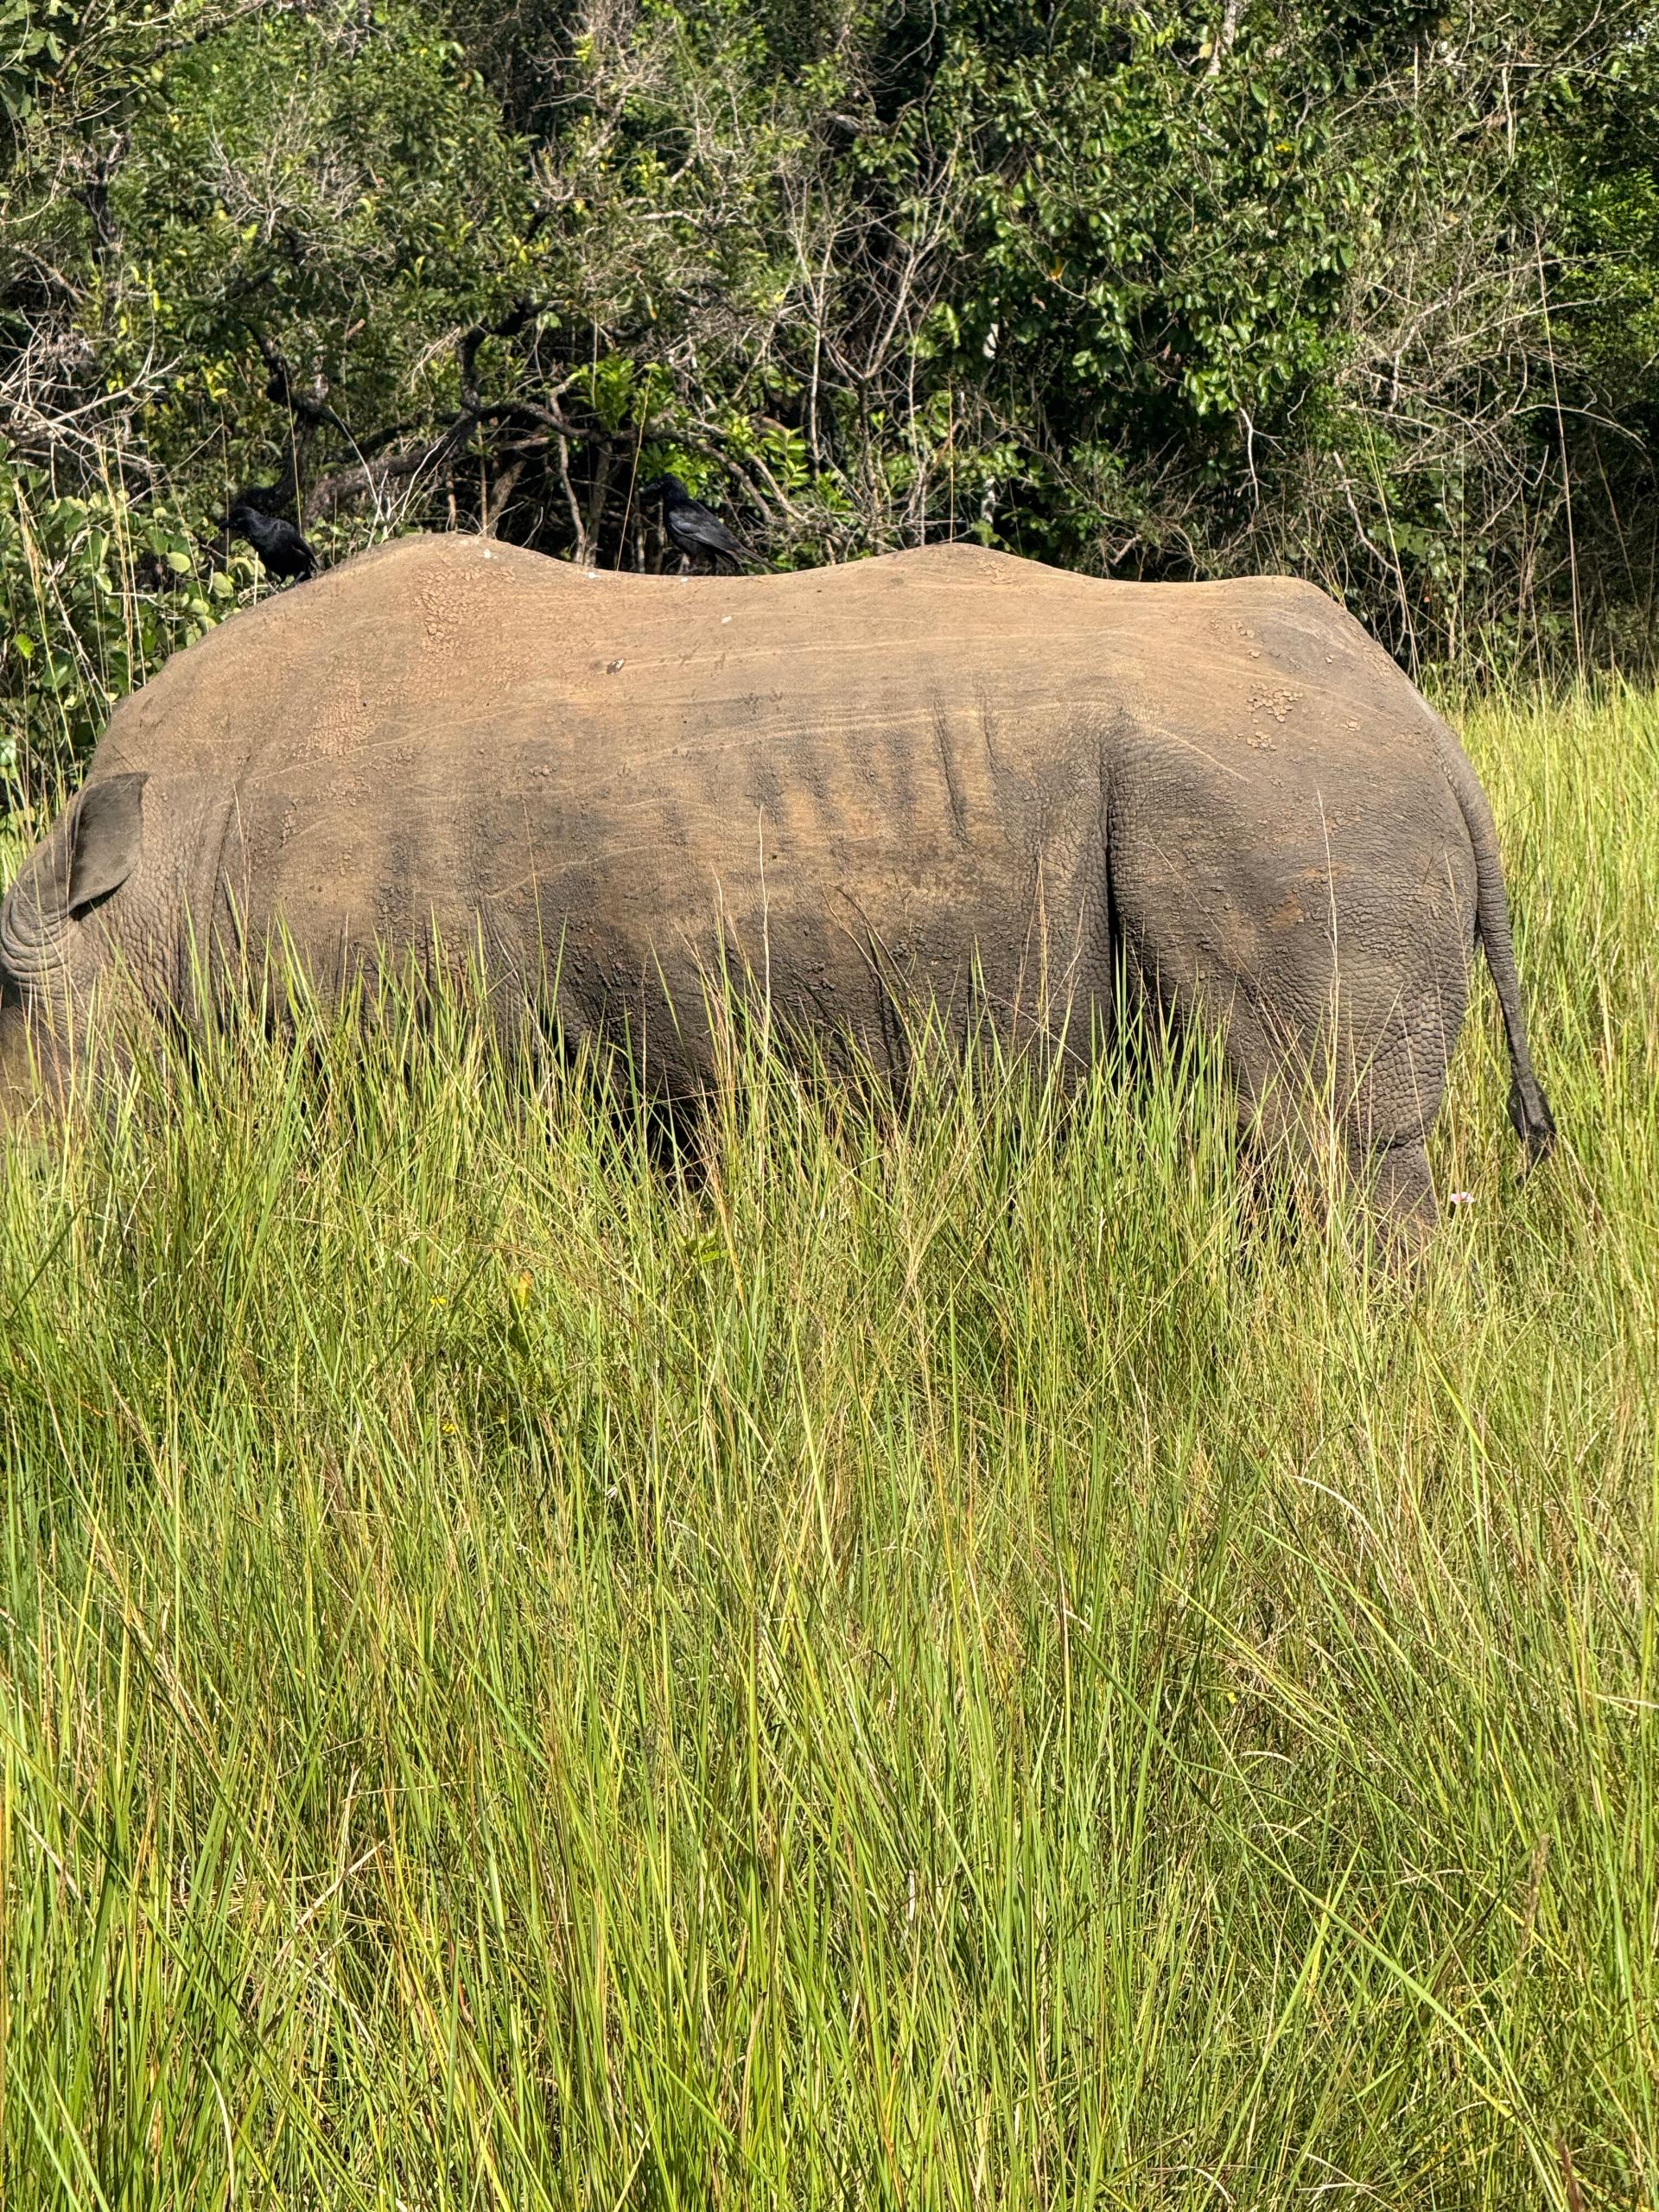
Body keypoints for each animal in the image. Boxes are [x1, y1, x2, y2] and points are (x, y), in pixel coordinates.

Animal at [0, 534, 1553, 1232]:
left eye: (10, 1040)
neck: (147, 890)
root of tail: (1432, 729)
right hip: (1297, 788)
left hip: (1288, 799)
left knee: (1320, 1149)